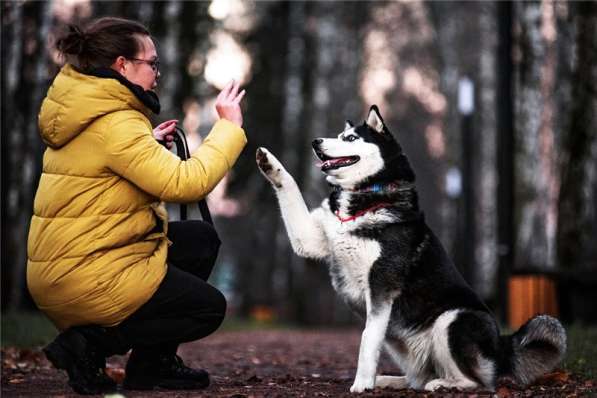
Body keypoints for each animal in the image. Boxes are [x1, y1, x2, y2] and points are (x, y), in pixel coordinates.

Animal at [254, 105, 564, 392]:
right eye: (339, 135)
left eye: (351, 138)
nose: (316, 142)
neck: (367, 196)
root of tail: (502, 346)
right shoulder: (309, 239)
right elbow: (290, 188)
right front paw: (269, 163)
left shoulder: (381, 285)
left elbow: (367, 339)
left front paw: (361, 384)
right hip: (405, 342)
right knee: (418, 378)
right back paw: (389, 380)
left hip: (451, 320)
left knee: (480, 382)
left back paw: (444, 384)